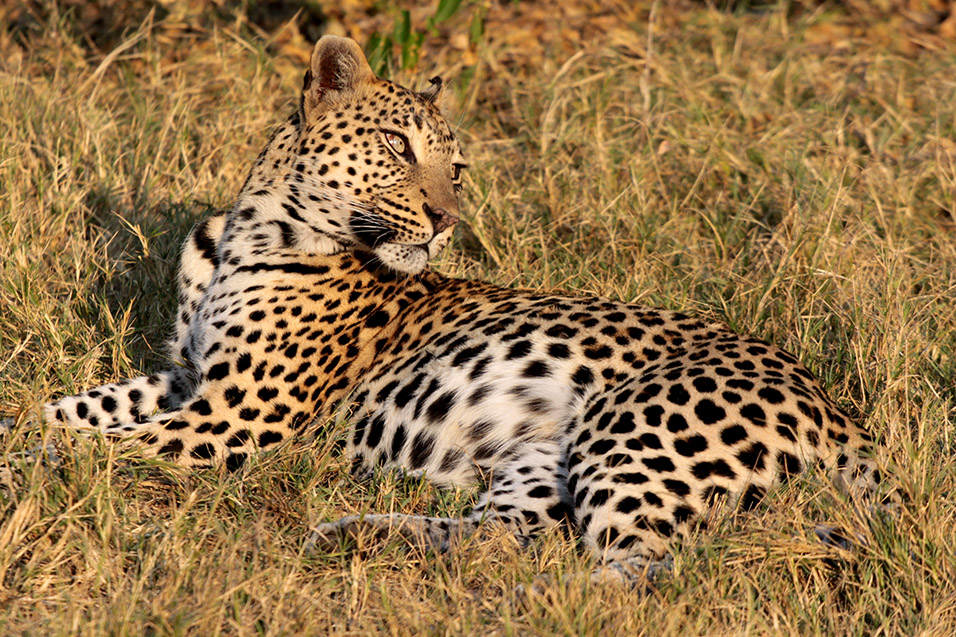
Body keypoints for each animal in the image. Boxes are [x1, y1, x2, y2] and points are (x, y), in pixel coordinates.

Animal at [43, 33, 880, 580]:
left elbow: (102, 444)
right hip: (542, 458)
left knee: (638, 567)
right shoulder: (190, 379)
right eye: (396, 146)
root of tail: (840, 412)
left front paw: (35, 466)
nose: (448, 219)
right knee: (502, 537)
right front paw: (38, 426)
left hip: (630, 432)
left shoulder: (238, 414)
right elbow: (69, 408)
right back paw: (352, 535)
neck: (247, 233)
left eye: (459, 167)